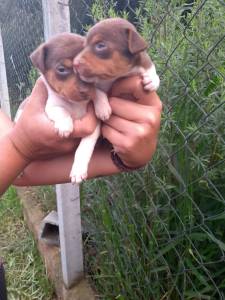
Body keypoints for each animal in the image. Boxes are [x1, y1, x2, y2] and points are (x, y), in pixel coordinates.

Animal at [28, 32, 100, 183]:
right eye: (62, 69)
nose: (86, 91)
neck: (75, 104)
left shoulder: (95, 126)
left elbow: (84, 147)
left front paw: (78, 170)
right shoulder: (50, 106)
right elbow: (61, 110)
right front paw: (65, 125)